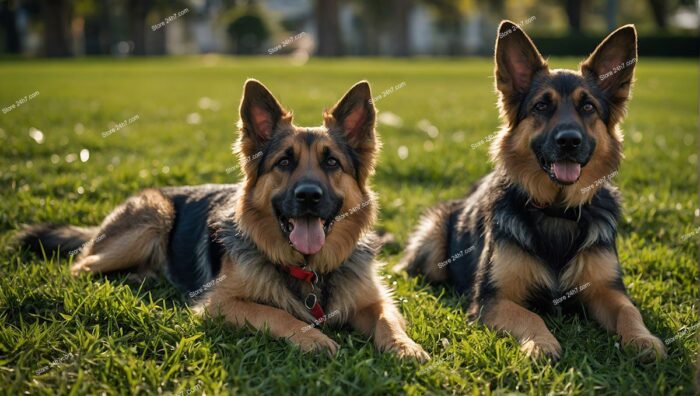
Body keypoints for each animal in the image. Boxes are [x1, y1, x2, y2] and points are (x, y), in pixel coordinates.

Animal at [19, 79, 430, 360]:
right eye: (284, 162)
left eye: (332, 162)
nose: (309, 196)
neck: (308, 270)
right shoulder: (220, 303)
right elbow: (276, 314)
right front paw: (313, 338)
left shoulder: (374, 299)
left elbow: (386, 320)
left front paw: (406, 347)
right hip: (154, 217)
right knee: (79, 266)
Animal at [396, 21, 664, 362]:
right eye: (542, 105)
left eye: (587, 106)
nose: (569, 141)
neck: (556, 210)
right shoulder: (493, 299)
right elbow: (531, 315)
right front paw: (541, 343)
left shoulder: (608, 290)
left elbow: (630, 311)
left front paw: (644, 339)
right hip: (433, 242)